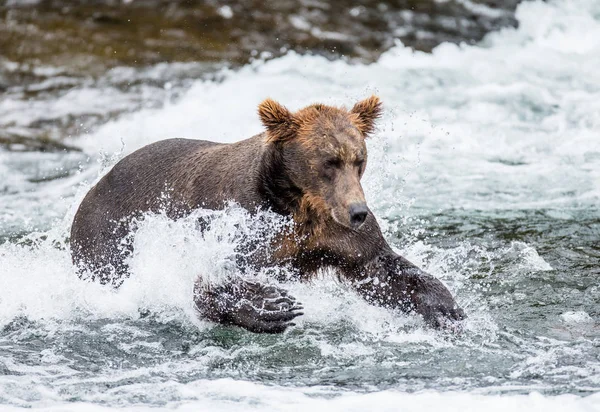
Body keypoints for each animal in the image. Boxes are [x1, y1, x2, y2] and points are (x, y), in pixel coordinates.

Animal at [70, 97, 464, 334]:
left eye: (359, 158)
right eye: (329, 161)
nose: (357, 212)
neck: (298, 203)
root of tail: (95, 186)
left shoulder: (337, 236)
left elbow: (381, 268)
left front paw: (447, 309)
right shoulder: (241, 222)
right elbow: (211, 281)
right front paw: (273, 305)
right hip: (111, 233)